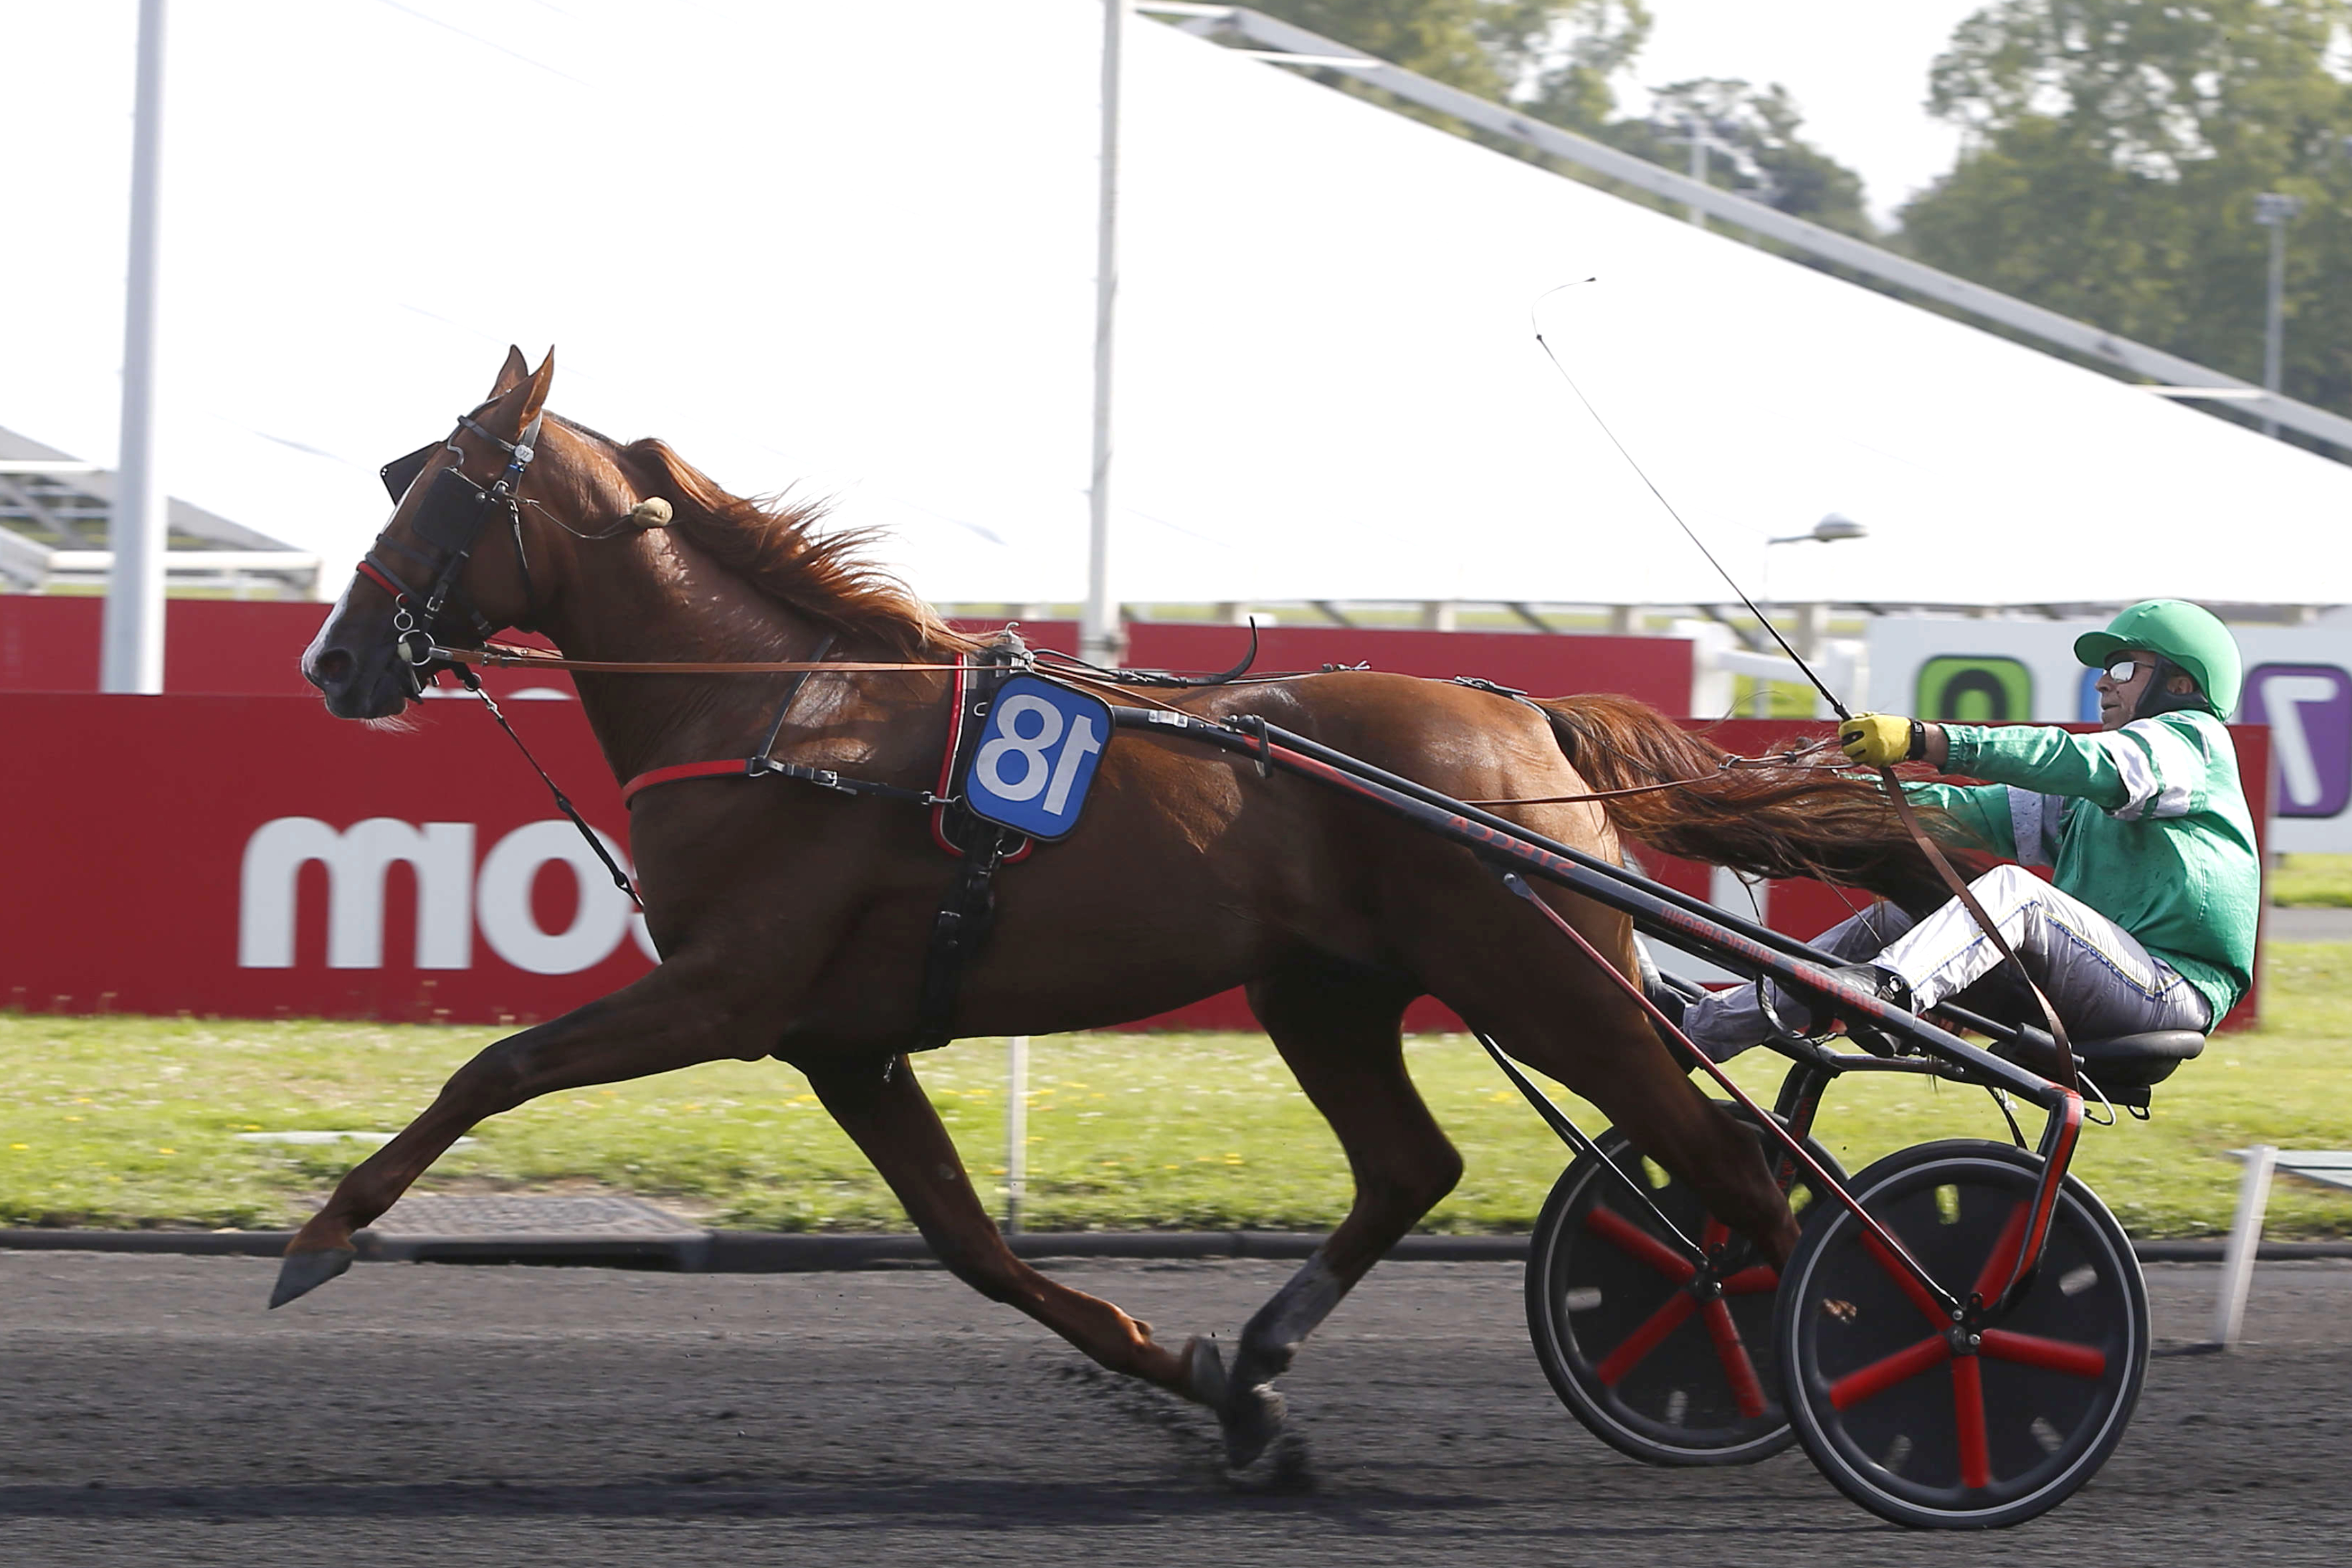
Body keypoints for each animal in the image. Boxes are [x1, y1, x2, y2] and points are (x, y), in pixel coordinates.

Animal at [293, 350, 1966, 1466]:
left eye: (439, 488)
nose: (333, 659)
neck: (783, 715)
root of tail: (1523, 716)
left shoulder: (726, 991)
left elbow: (495, 1064)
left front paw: (323, 1230)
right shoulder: (844, 1044)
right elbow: (974, 1246)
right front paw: (1199, 1373)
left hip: (1540, 981)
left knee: (1735, 1173)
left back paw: (1852, 1364)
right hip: (1328, 988)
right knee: (1418, 1164)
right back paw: (1275, 1358)